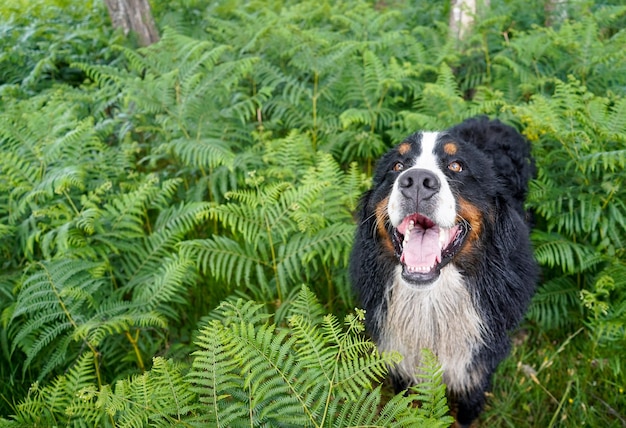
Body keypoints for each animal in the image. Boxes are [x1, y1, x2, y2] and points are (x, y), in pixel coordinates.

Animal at [352, 115, 536, 426]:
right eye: (397, 166)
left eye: (457, 166)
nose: (416, 181)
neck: (431, 302)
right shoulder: (404, 367)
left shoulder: (474, 371)